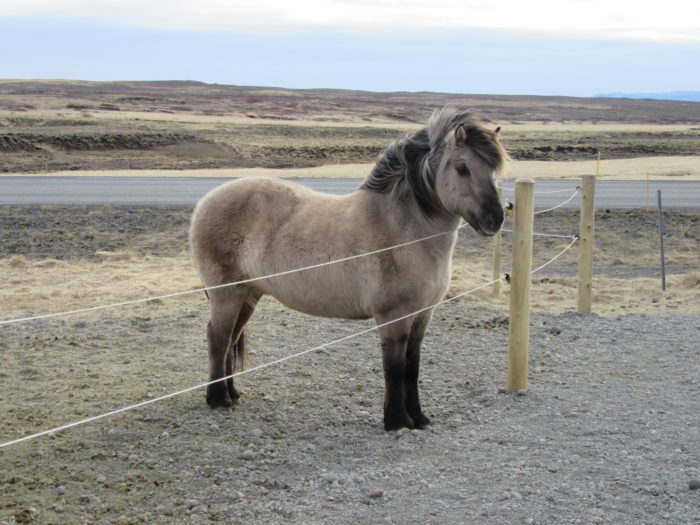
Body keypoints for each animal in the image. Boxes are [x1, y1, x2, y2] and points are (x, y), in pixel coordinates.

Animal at [189, 106, 507, 430]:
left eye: (492, 171)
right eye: (462, 168)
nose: (495, 219)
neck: (404, 229)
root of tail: (204, 202)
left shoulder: (422, 316)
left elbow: (412, 367)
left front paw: (418, 418)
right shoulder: (393, 318)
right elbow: (394, 369)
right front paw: (397, 420)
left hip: (248, 295)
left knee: (230, 339)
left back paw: (232, 393)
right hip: (227, 294)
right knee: (218, 339)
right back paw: (217, 398)